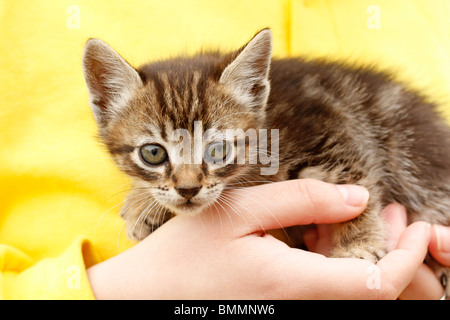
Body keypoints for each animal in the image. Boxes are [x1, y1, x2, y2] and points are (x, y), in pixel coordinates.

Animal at [82, 28, 450, 294]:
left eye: (217, 150)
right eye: (153, 153)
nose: (188, 190)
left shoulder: (333, 123)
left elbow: (358, 183)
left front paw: (357, 246)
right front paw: (142, 203)